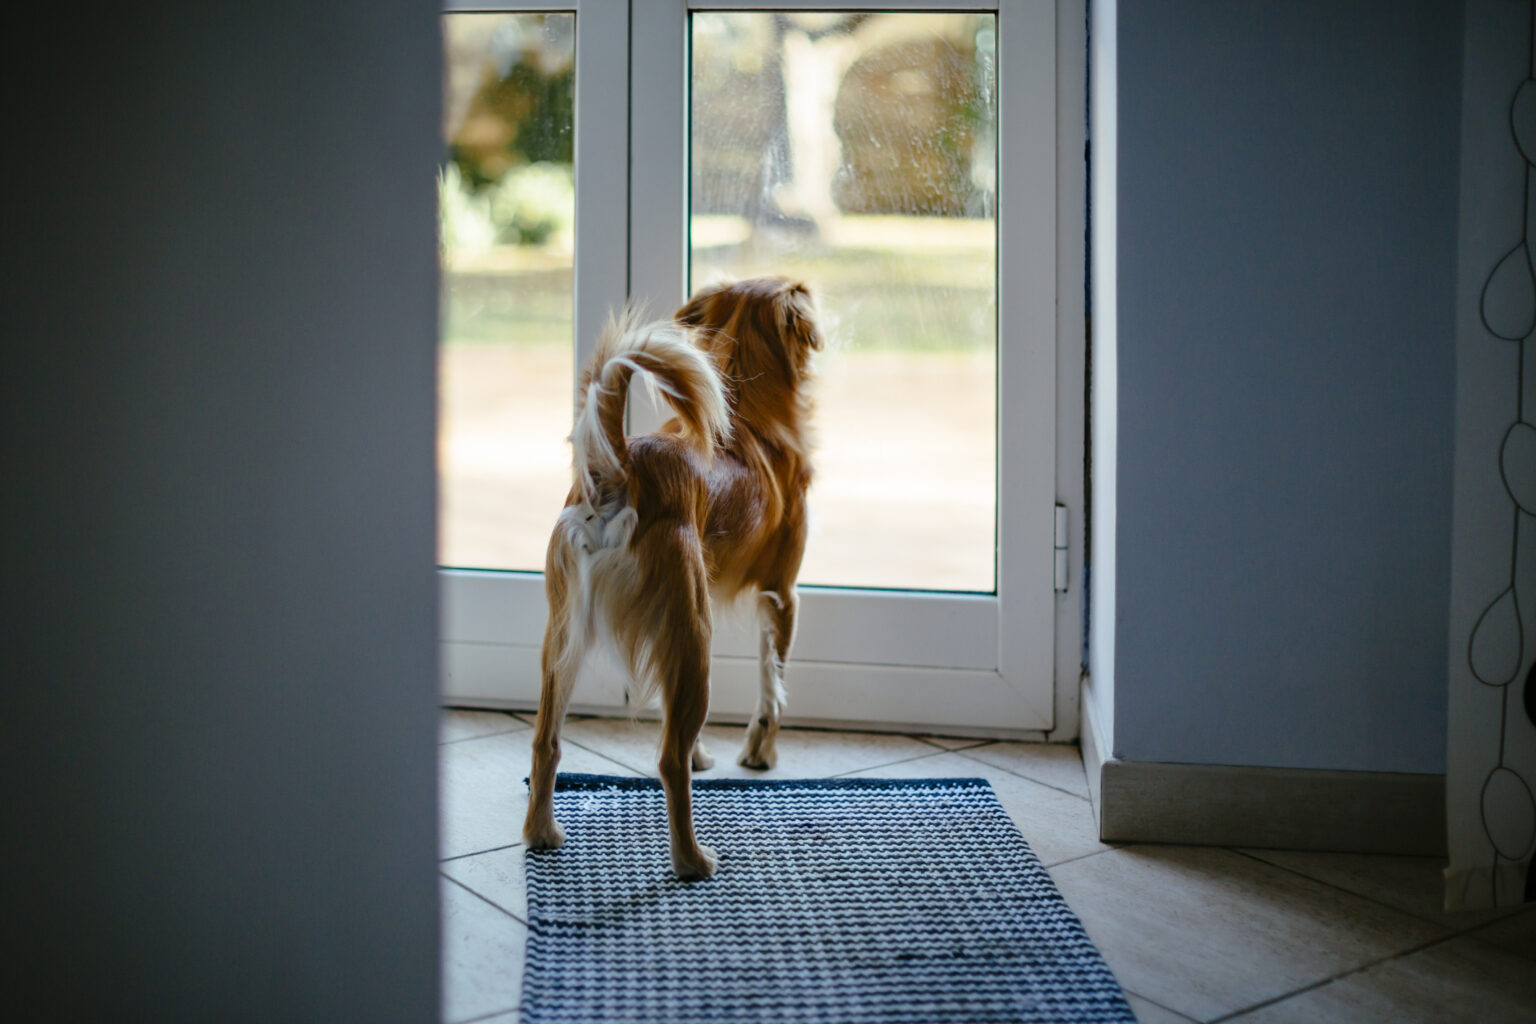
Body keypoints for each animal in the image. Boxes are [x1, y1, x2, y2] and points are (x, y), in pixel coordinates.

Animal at [522, 277, 823, 884]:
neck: (750, 416)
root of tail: (618, 471)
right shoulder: (781, 596)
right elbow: (771, 689)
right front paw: (760, 755)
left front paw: (706, 755)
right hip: (693, 634)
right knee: (666, 760)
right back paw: (691, 860)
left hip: (568, 640)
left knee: (547, 741)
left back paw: (541, 832)